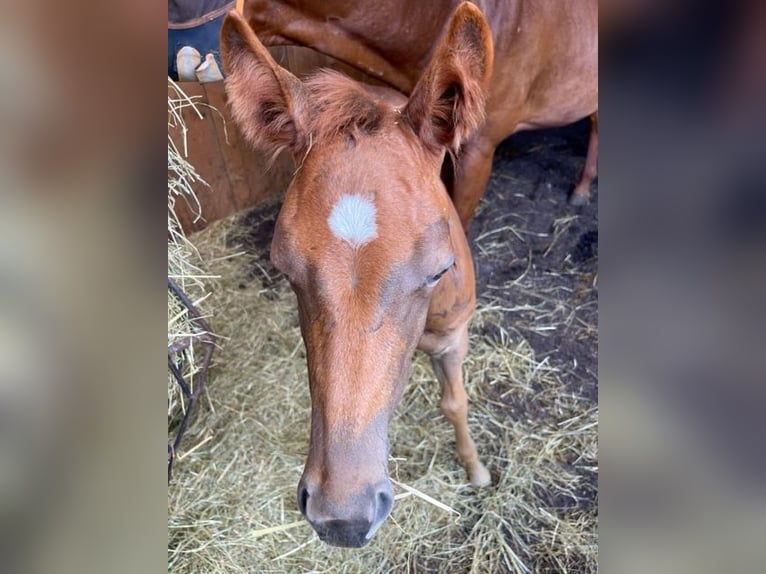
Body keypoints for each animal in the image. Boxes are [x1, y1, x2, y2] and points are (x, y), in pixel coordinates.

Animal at [224, 4, 498, 548]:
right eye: (283, 267)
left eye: (441, 269)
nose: (343, 519)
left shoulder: (454, 336)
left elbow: (455, 402)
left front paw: (476, 470)